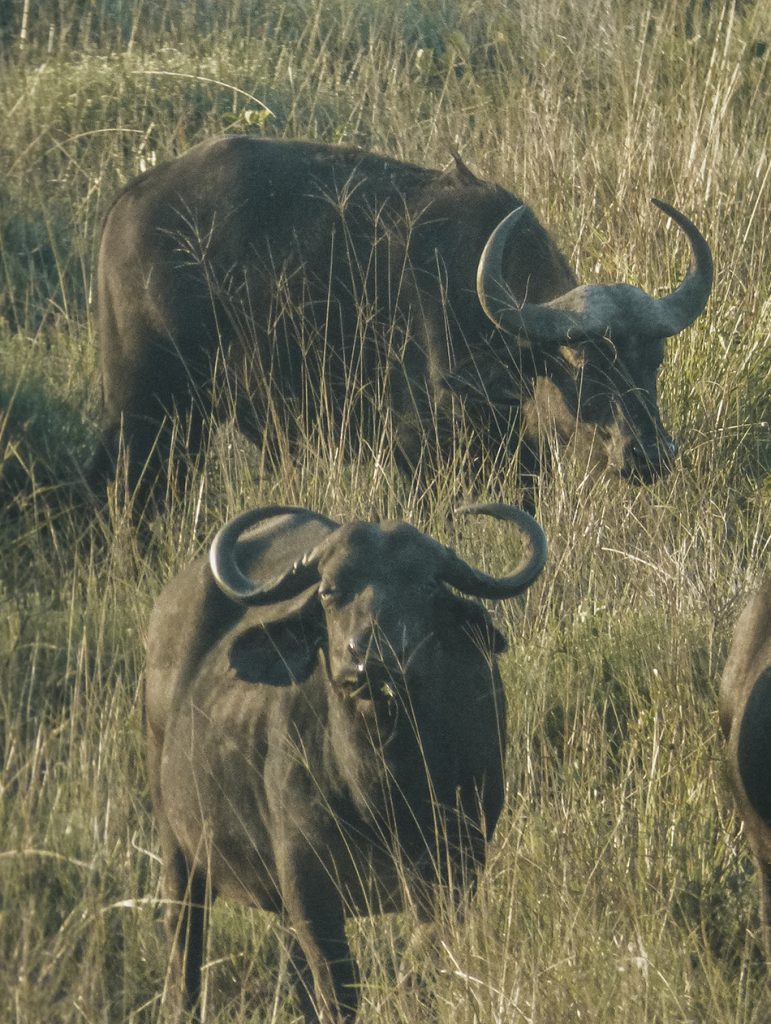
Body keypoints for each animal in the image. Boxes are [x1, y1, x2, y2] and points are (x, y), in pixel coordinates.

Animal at [88, 136, 708, 503]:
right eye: (582, 361)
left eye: (654, 360)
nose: (650, 453)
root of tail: (126, 203)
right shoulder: (418, 452)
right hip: (146, 411)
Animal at [144, 501, 548, 1015]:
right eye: (329, 590)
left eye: (425, 586)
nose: (369, 656)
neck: (384, 791)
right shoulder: (308, 884)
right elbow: (337, 990)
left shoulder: (456, 869)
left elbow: (418, 970)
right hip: (175, 843)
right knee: (185, 947)